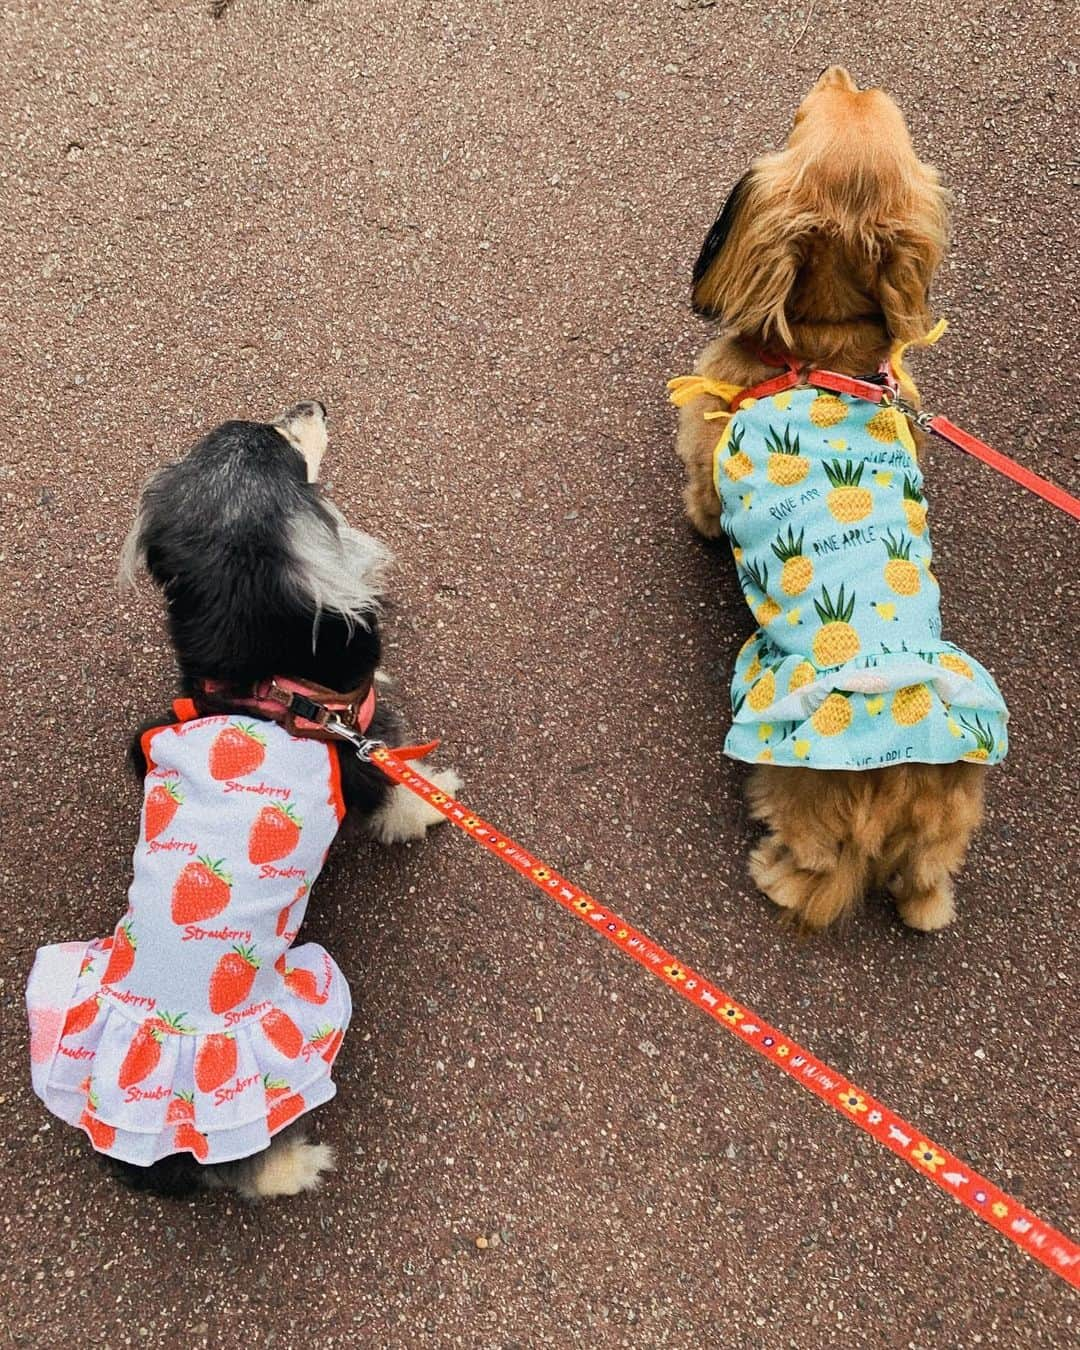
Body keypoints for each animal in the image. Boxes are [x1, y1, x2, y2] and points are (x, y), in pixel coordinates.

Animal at [675, 63, 988, 928]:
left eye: (799, 117)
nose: (846, 72)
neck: (823, 346)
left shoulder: (700, 448)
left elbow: (700, 500)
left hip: (788, 774)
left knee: (815, 874)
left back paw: (772, 870)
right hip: (943, 839)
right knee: (925, 889)